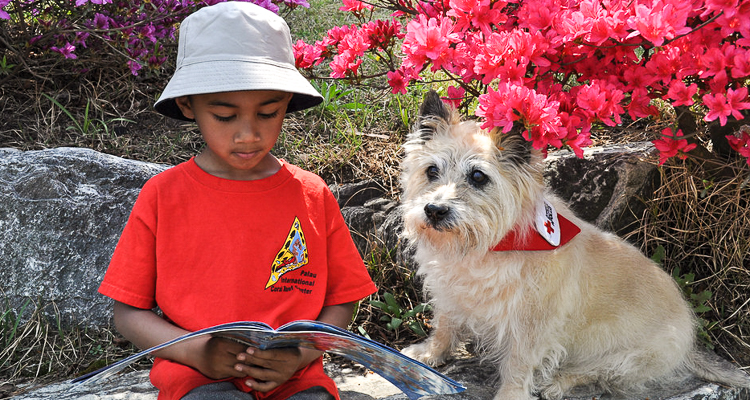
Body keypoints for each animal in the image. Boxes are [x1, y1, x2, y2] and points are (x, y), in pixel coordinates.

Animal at [402, 91, 748, 400]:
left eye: (477, 176)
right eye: (431, 170)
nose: (434, 210)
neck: (487, 245)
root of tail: (689, 343)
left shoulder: (531, 324)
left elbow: (518, 364)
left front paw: (511, 394)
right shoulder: (450, 293)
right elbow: (445, 326)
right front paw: (429, 354)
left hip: (624, 357)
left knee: (594, 373)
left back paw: (557, 382)